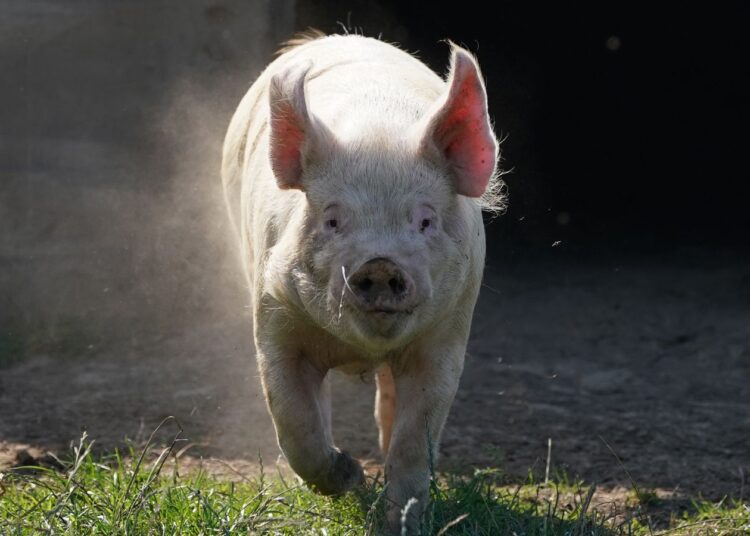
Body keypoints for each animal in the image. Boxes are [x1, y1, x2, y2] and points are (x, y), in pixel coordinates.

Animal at [221, 31, 503, 533]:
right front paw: (349, 477)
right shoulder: (273, 315)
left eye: (425, 221)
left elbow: (415, 439)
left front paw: (401, 521)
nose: (380, 264)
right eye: (333, 220)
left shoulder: (447, 333)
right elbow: (294, 420)